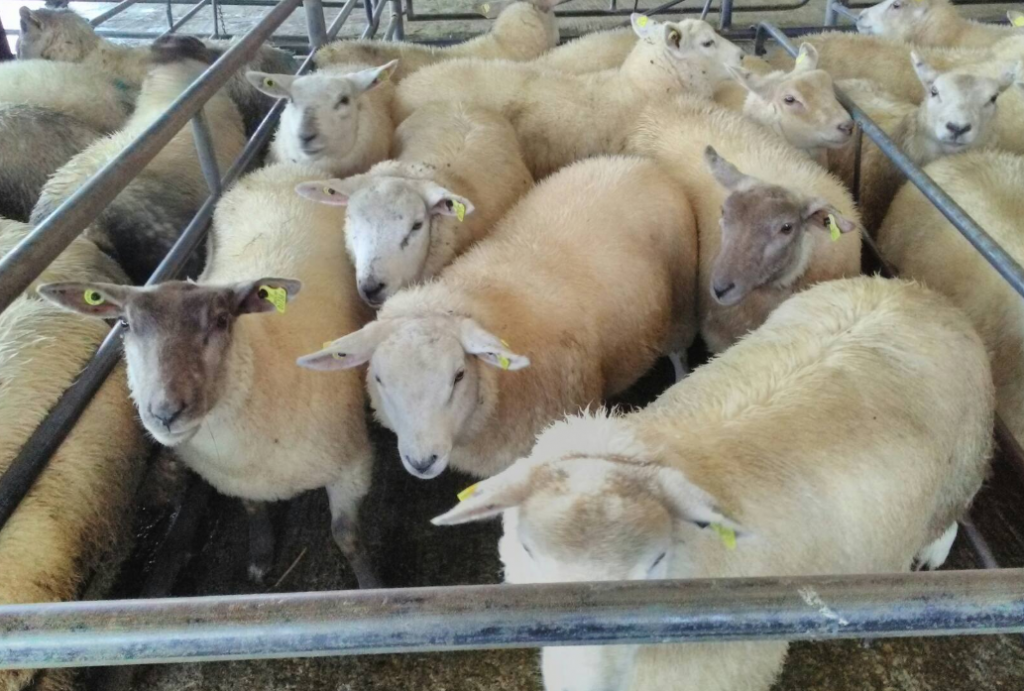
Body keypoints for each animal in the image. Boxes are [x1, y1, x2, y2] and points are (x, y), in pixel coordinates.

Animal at [39, 162, 379, 588]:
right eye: (124, 324)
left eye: (221, 320)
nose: (165, 413)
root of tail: (283, 167)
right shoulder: (240, 480)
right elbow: (252, 510)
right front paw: (260, 556)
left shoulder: (352, 467)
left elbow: (347, 538)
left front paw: (374, 585)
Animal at [296, 155, 699, 481]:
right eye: (379, 379)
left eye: (459, 375)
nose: (422, 462)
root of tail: (635, 161)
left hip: (679, 304)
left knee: (679, 350)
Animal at [431, 275, 994, 691]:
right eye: (528, 549)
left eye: (656, 560)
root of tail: (916, 291)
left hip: (963, 462)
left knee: (953, 511)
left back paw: (930, 554)